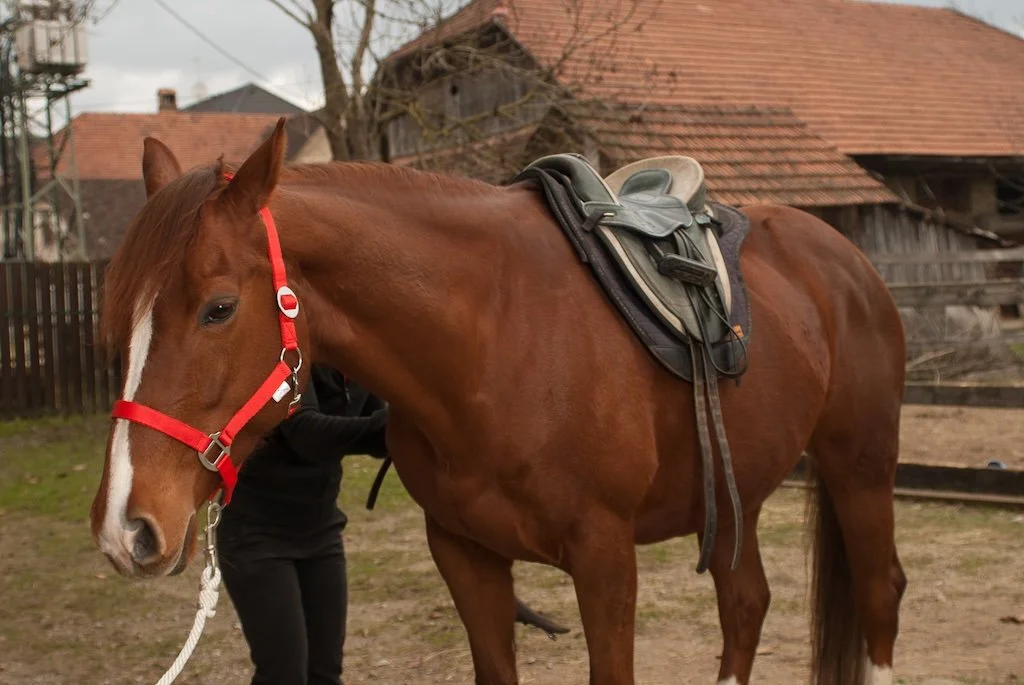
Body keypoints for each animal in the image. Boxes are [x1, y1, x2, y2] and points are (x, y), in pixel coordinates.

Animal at [89, 118, 907, 685]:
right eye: (119, 314)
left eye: (219, 308)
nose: (125, 527)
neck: (492, 340)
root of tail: (845, 259)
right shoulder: (466, 556)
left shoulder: (605, 559)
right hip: (737, 495)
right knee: (745, 605)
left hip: (858, 468)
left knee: (879, 592)